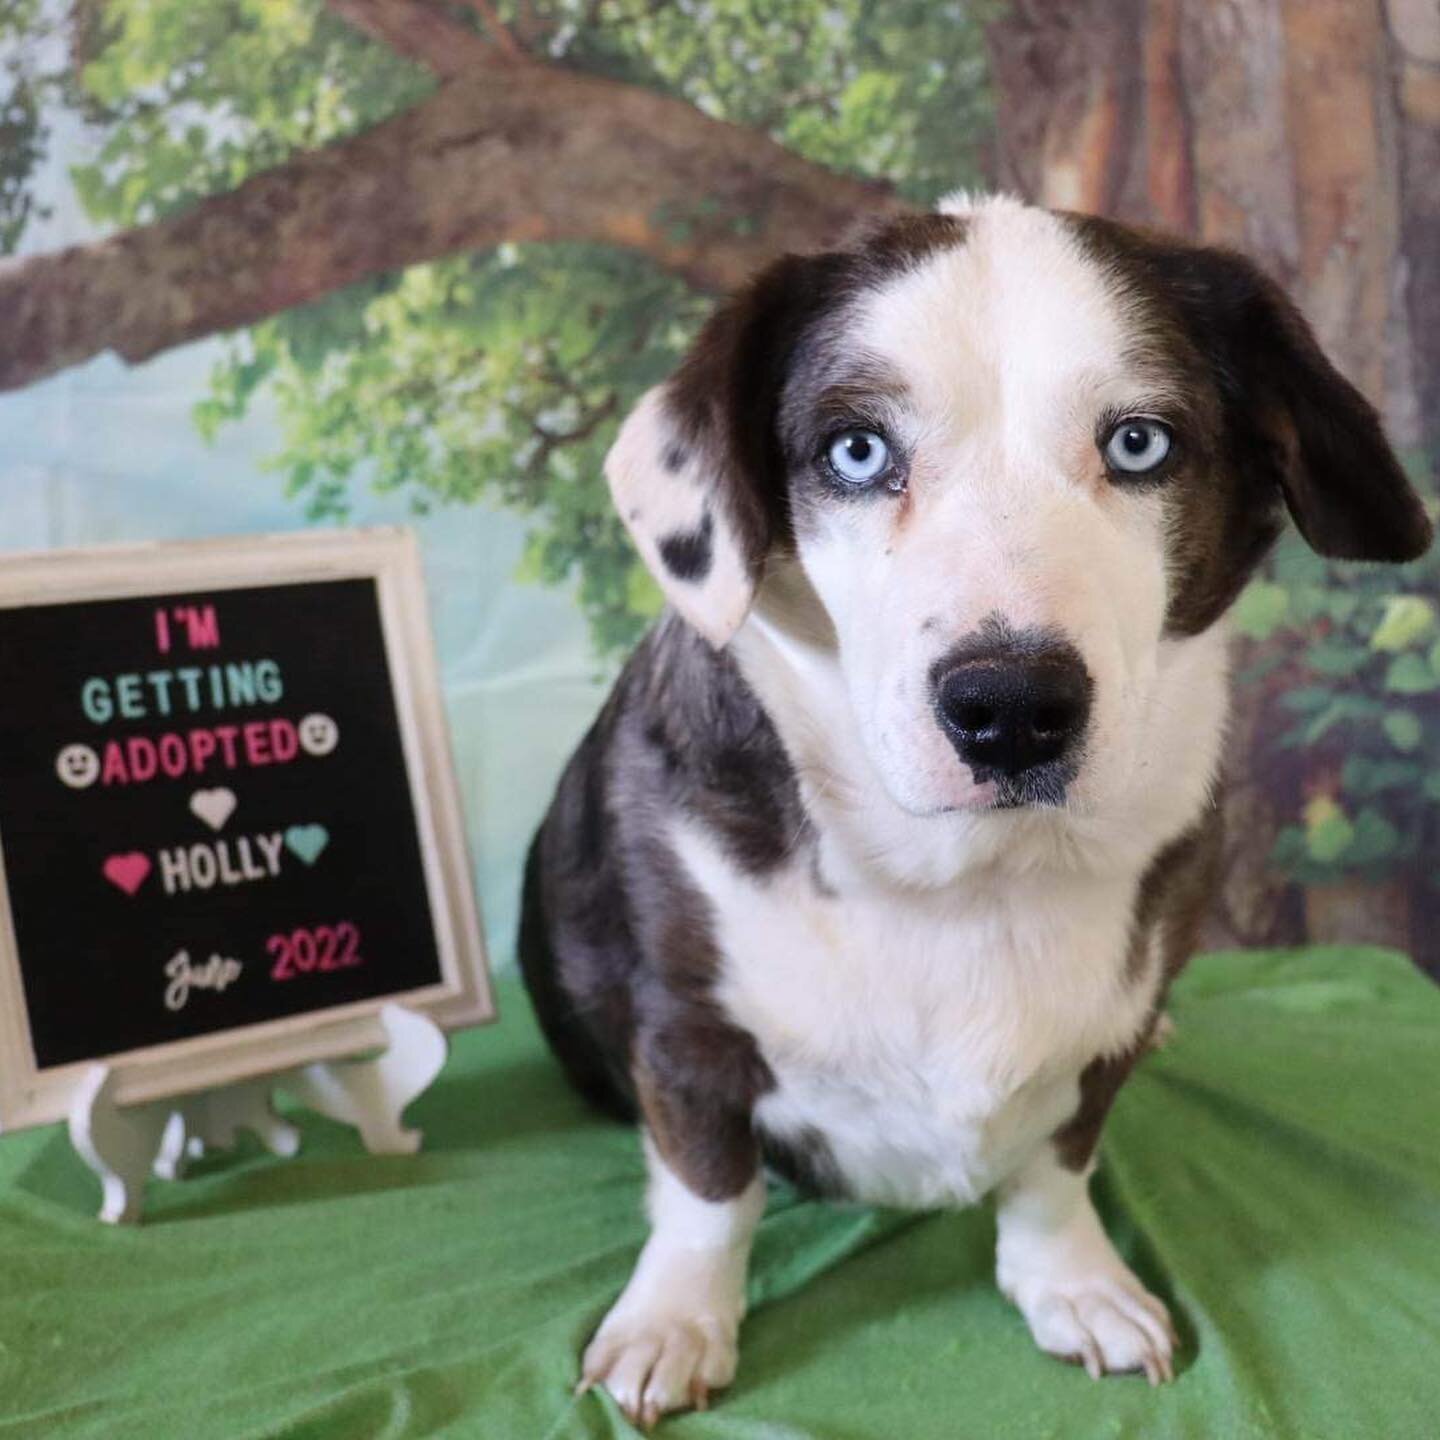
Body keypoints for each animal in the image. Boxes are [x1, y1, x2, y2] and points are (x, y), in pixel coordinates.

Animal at [518, 194, 1428, 1428]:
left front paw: (1074, 1282)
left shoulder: (1103, 1038)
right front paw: (673, 1323)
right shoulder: (686, 1035)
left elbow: (1057, 1167)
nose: (1012, 709)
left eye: (1140, 443)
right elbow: (711, 1195)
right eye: (857, 450)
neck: (974, 875)